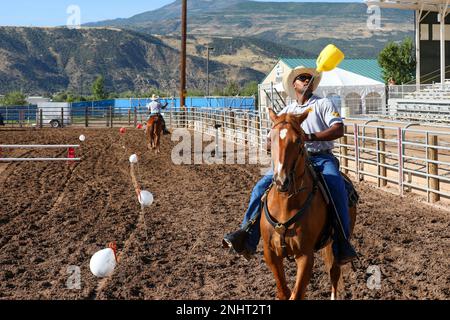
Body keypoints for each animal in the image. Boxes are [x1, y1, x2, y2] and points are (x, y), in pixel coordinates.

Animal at [262, 109, 356, 300]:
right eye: (271, 138)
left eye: (298, 140)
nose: (281, 180)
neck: (286, 203)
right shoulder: (270, 254)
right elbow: (284, 292)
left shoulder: (305, 255)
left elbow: (297, 294)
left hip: (337, 243)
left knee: (334, 272)